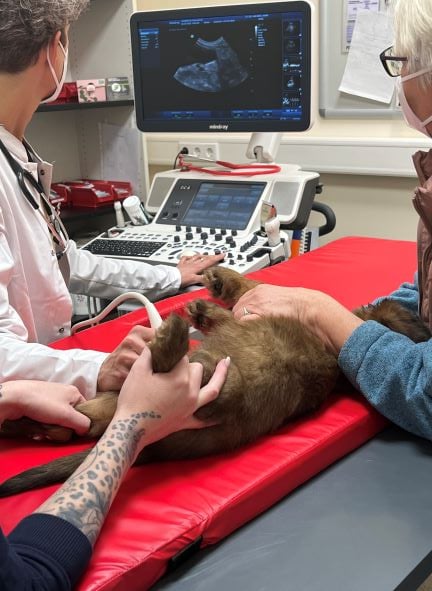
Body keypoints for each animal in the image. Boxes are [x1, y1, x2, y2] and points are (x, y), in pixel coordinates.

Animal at [0, 266, 428, 498]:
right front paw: (212, 293)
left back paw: (171, 338)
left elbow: (248, 291)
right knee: (84, 422)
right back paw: (33, 423)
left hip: (218, 385)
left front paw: (211, 294)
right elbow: (240, 295)